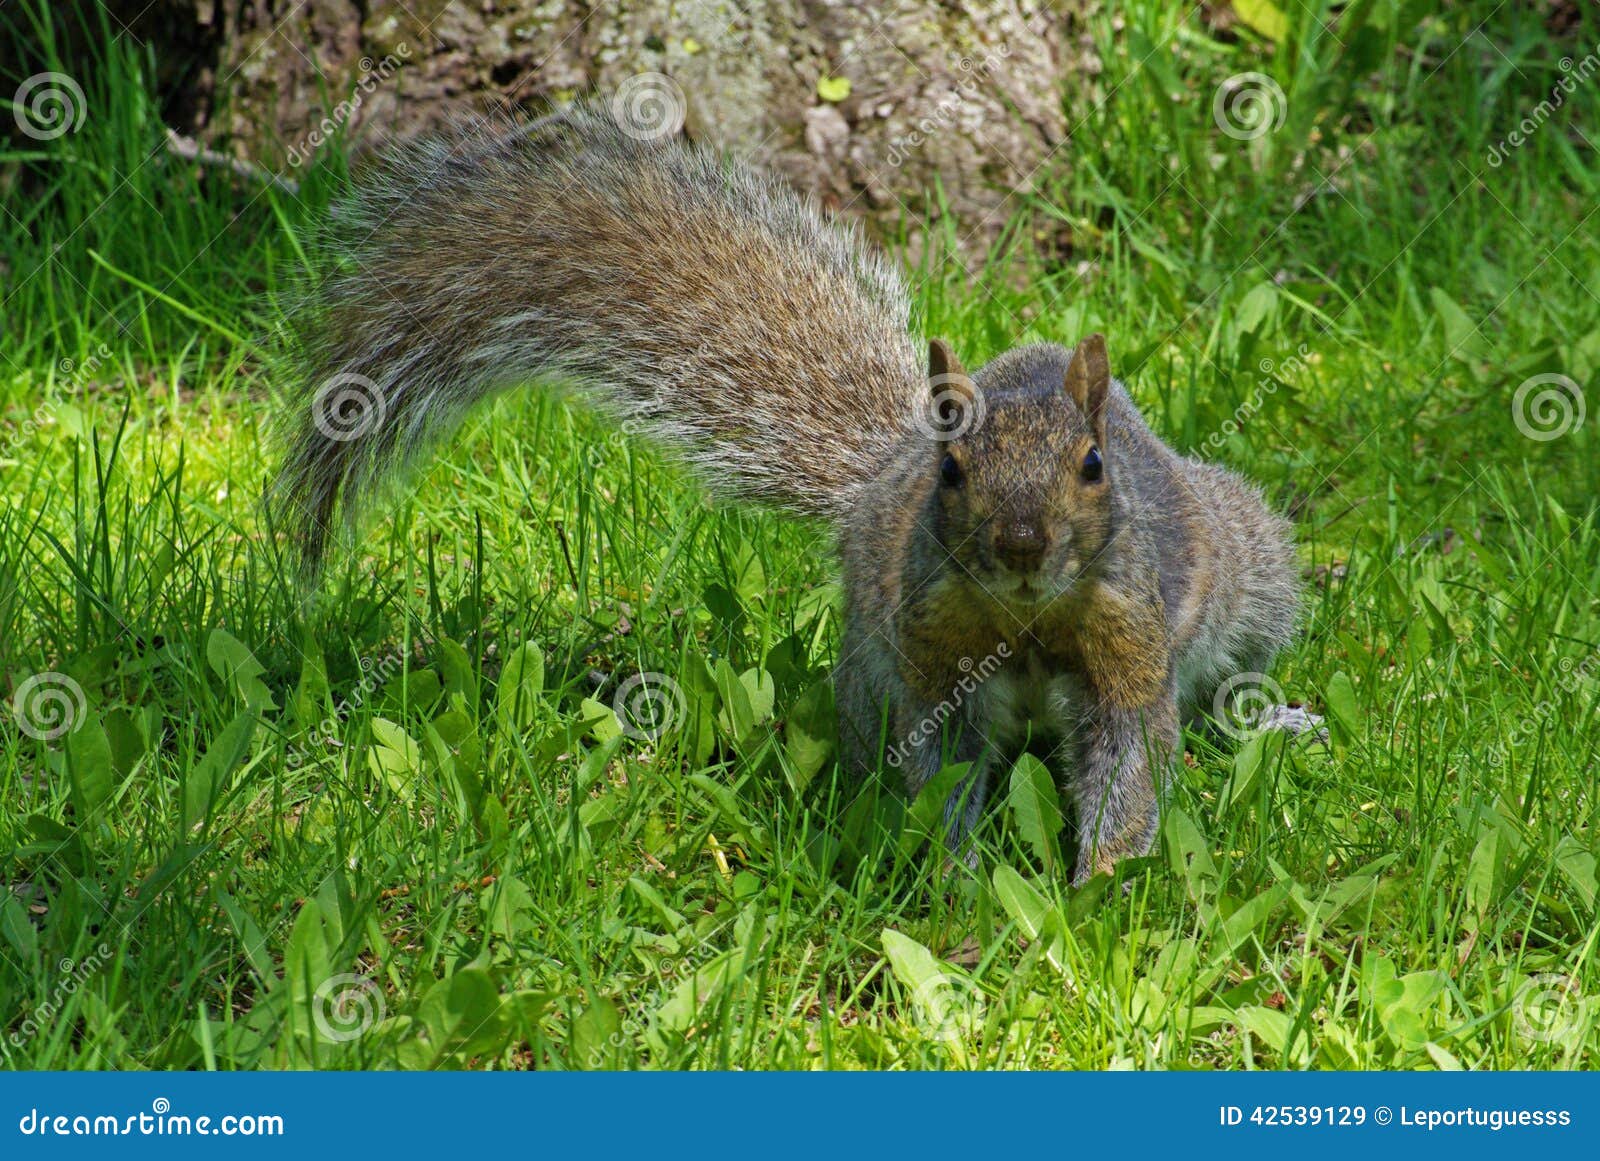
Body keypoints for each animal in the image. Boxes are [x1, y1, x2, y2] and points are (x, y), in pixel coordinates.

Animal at [274, 103, 1300, 883]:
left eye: (1092, 465)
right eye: (953, 472)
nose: (1018, 545)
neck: (1028, 619)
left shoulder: (1126, 640)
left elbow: (1131, 761)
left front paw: (1101, 889)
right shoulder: (933, 654)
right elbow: (942, 769)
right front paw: (963, 881)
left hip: (1251, 567)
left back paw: (1272, 715)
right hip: (868, 659)